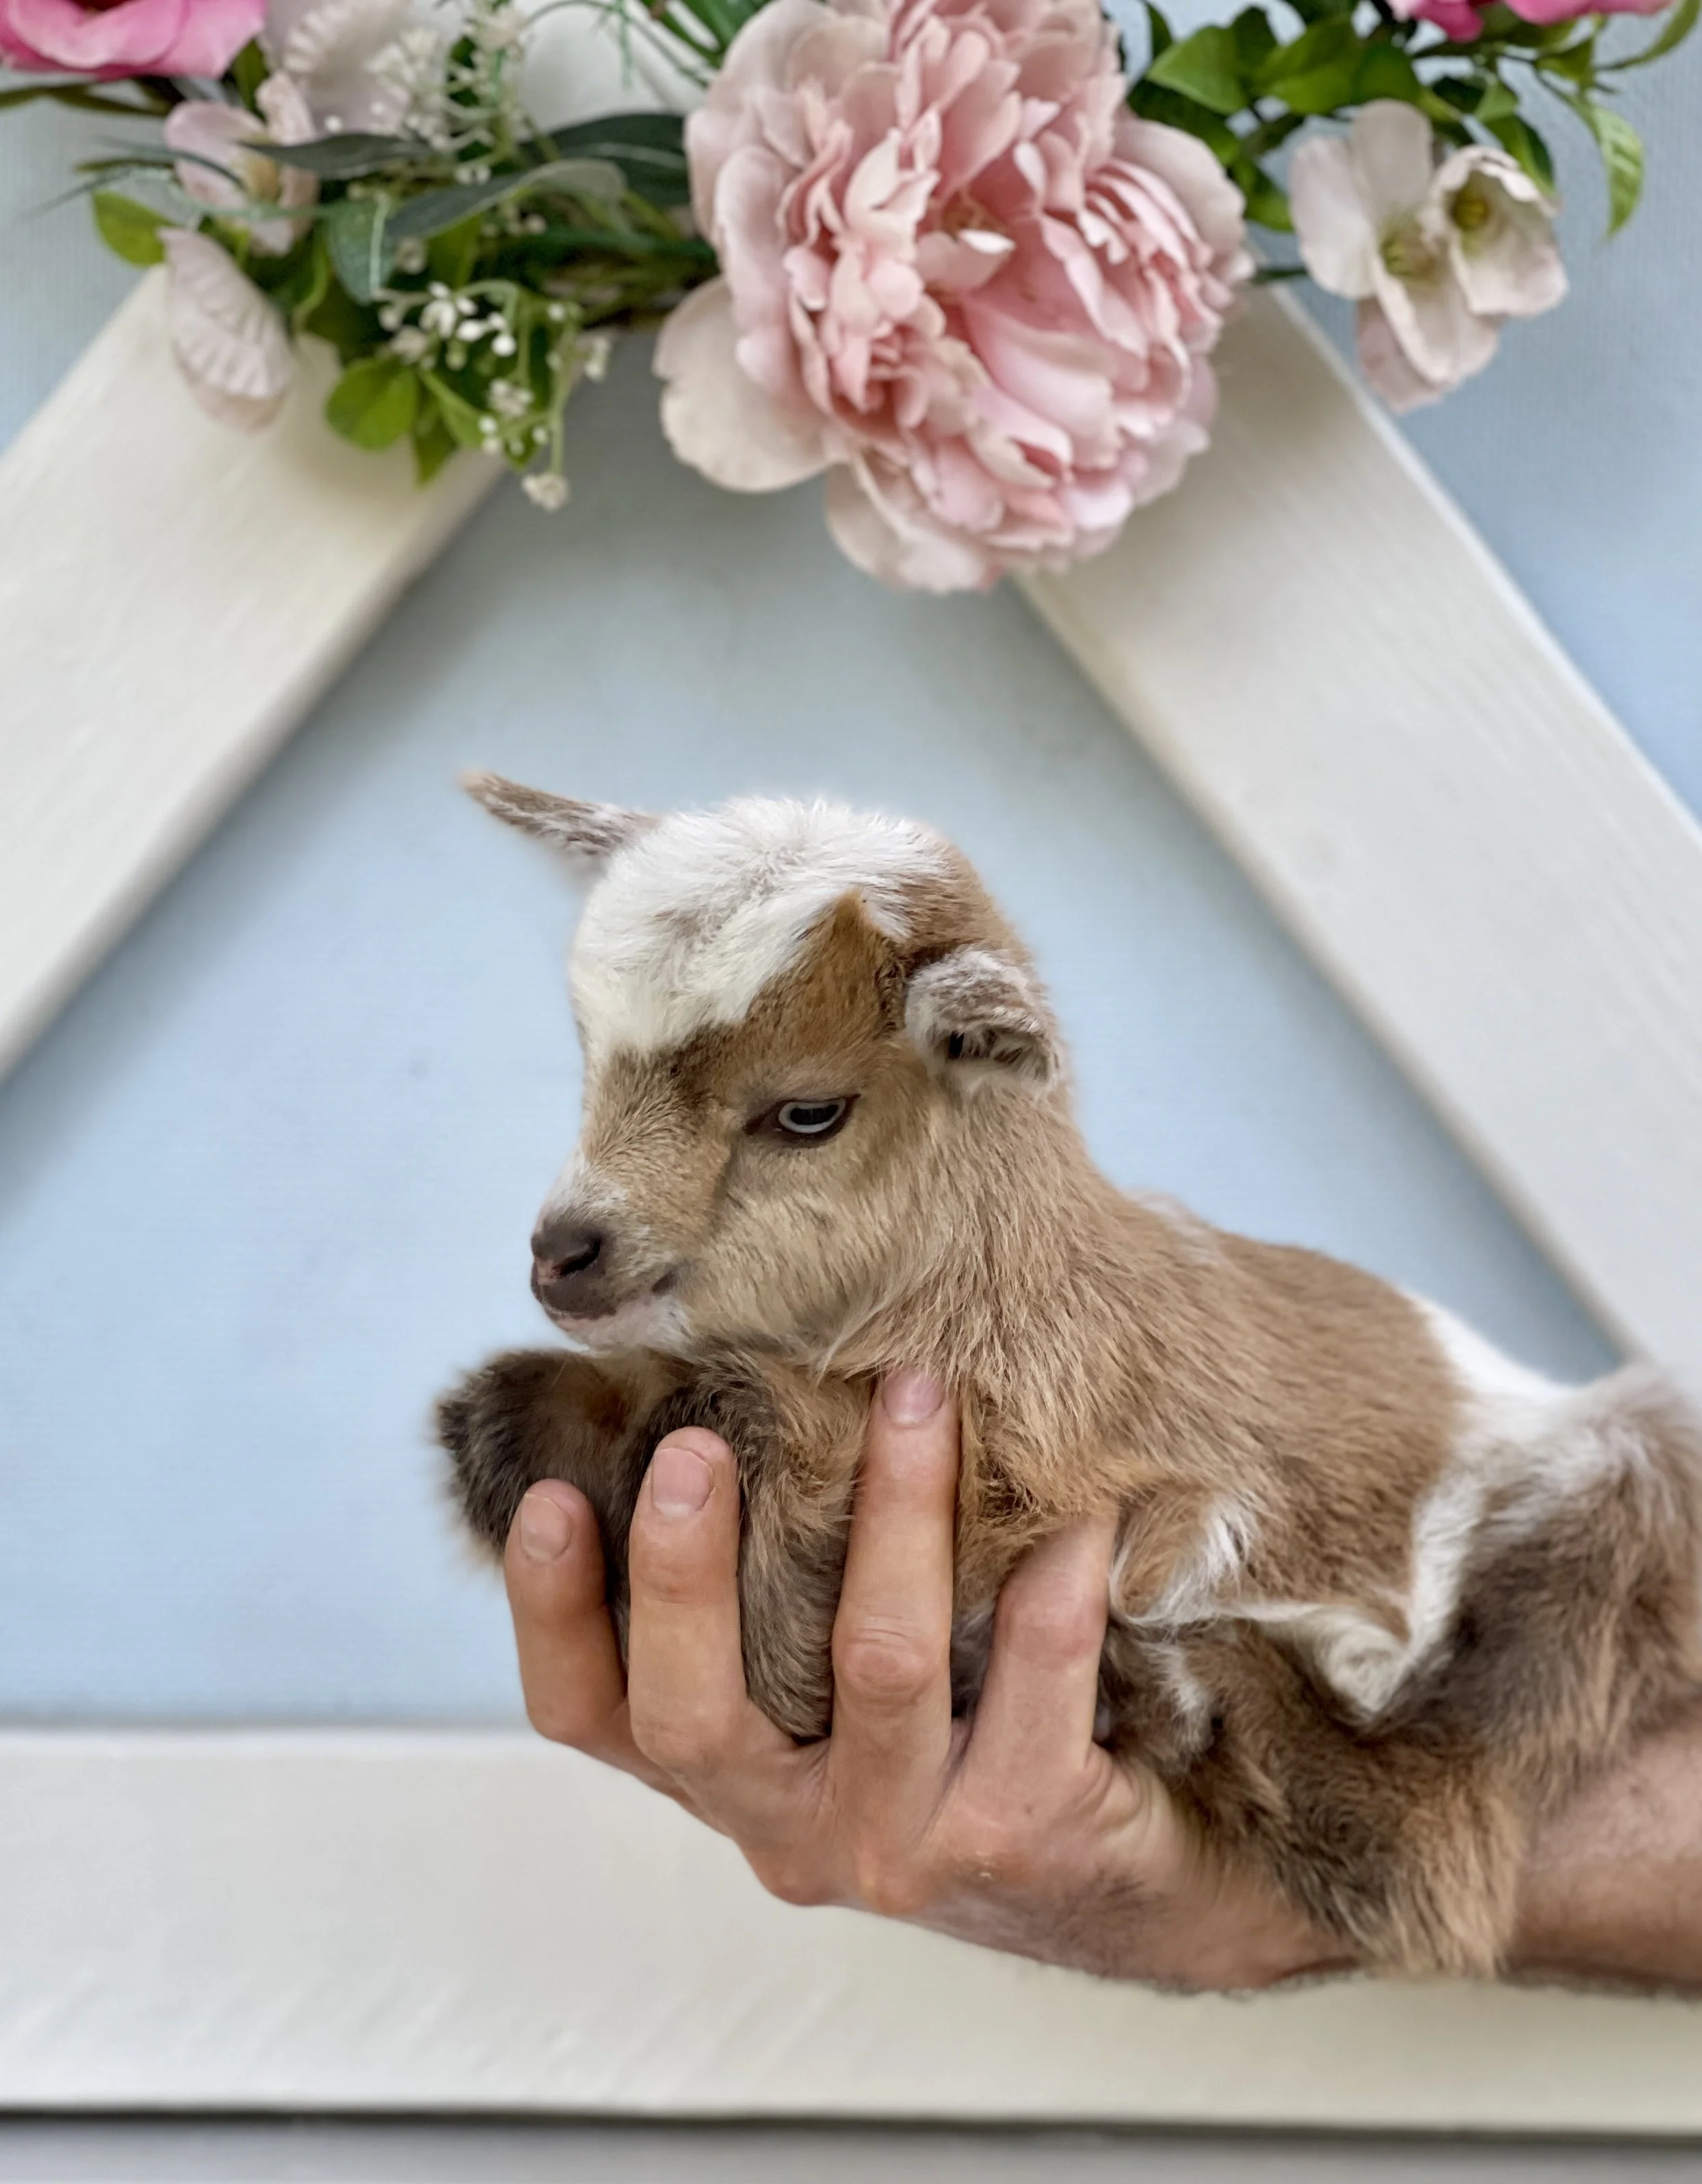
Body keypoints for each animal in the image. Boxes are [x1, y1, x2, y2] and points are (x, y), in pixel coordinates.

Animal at [437, 778, 1702, 1978]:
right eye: (591, 1059)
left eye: (806, 1110)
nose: (566, 1252)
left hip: (1587, 1538)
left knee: (1442, 1852)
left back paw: (1187, 1690)